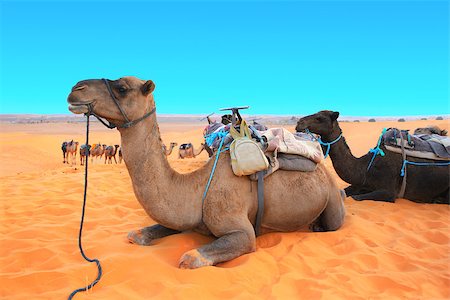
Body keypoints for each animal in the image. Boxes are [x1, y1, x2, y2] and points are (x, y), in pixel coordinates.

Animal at [67, 76, 346, 268]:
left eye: (122, 88)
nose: (76, 89)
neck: (198, 188)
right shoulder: (183, 218)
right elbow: (136, 234)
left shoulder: (242, 232)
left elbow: (190, 258)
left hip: (332, 203)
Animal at [298, 110, 448, 204]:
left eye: (319, 118)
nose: (299, 123)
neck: (366, 167)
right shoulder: (363, 182)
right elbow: (345, 192)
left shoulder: (389, 192)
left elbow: (357, 198)